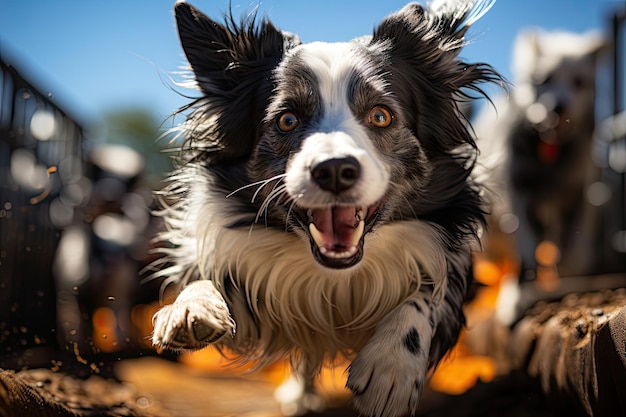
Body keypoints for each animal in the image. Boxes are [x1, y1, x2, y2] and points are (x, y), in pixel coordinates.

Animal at [151, 1, 498, 414]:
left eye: (381, 115)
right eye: (287, 120)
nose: (334, 170)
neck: (336, 278)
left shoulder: (449, 259)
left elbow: (428, 296)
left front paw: (392, 365)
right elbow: (203, 277)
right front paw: (190, 308)